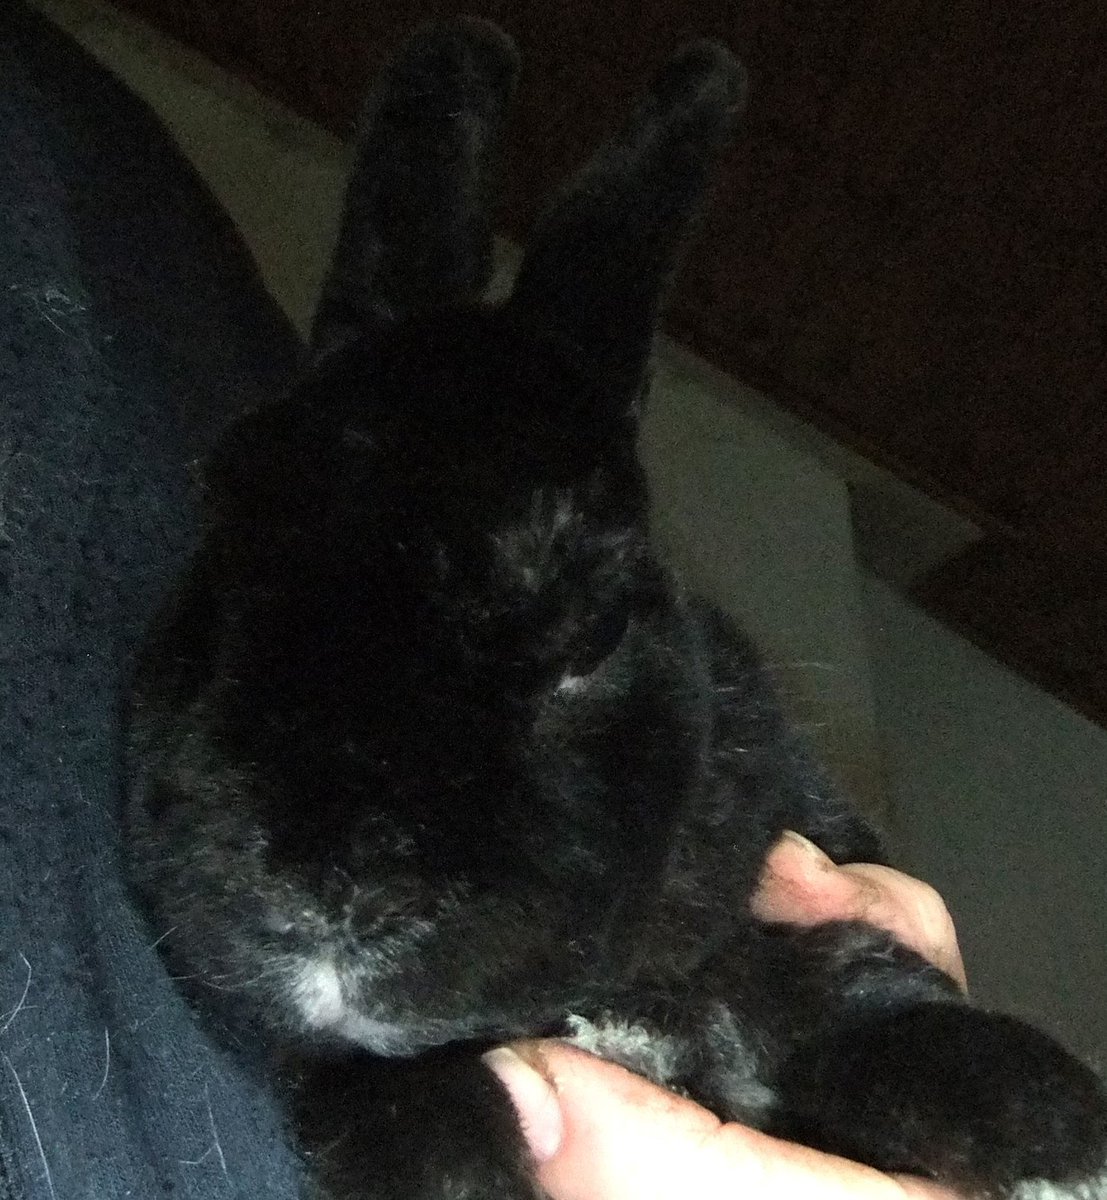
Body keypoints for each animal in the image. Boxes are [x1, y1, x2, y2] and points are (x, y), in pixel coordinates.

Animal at [124, 17, 1107, 1200]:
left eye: (594, 642)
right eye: (220, 517)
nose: (328, 895)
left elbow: (849, 992)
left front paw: (1051, 1131)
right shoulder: (355, 1076)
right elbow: (408, 1118)